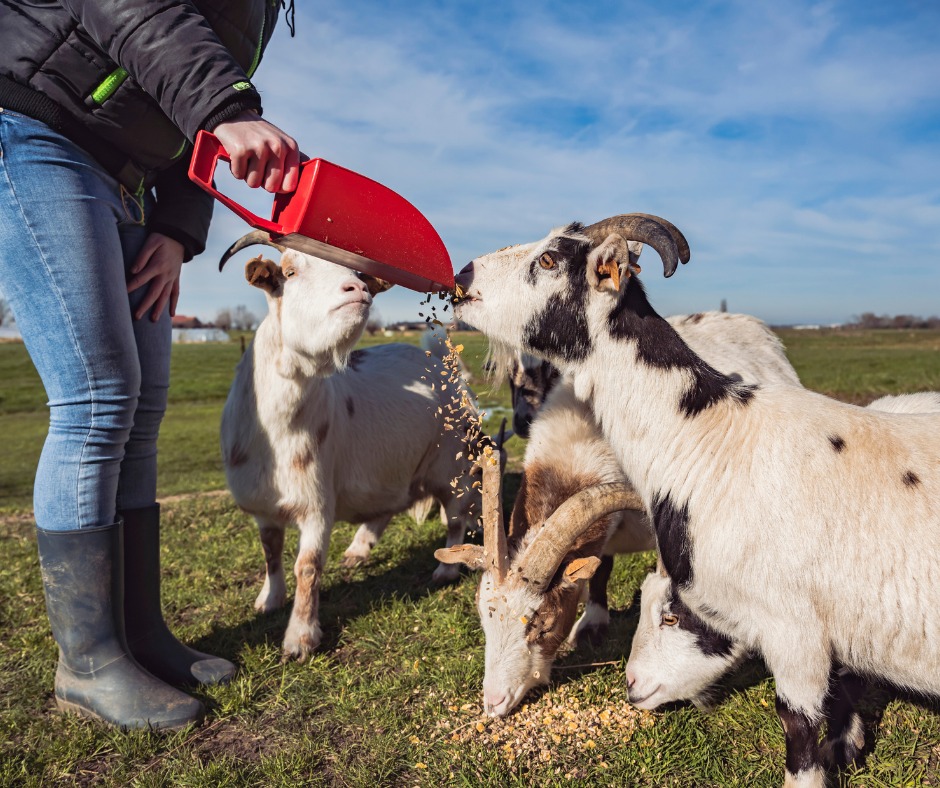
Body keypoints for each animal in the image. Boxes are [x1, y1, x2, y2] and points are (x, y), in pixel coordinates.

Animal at [221, 232, 484, 660]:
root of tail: (448, 369)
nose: (357, 289)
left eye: (358, 274)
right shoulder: (262, 505)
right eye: (289, 272)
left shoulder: (316, 501)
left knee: (456, 516)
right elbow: (271, 552)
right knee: (388, 505)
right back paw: (358, 551)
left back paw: (445, 569)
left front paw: (300, 638)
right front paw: (269, 600)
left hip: (451, 464)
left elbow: (307, 566)